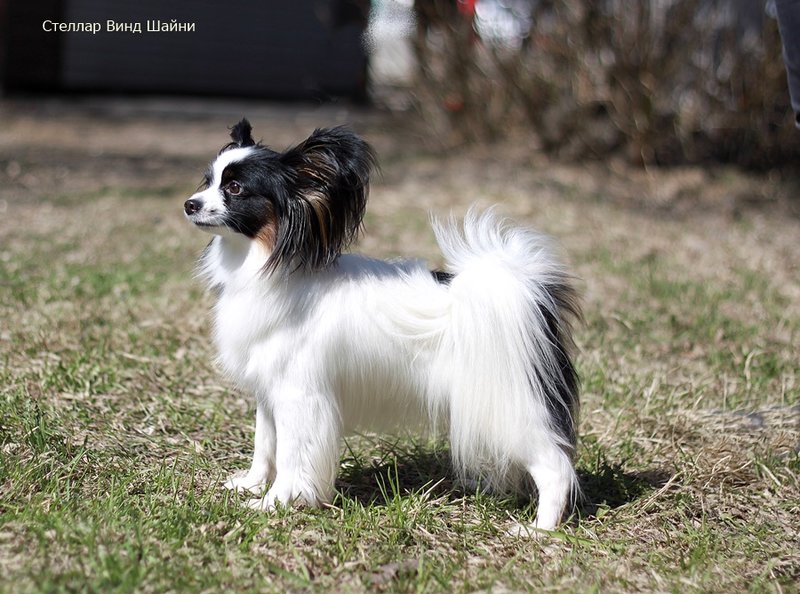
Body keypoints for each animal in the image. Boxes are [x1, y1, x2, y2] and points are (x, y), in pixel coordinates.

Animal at [184, 119, 580, 528]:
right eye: (208, 180)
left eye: (235, 188)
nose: (189, 204)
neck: (267, 264)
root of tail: (520, 292)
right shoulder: (269, 391)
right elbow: (265, 445)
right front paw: (251, 485)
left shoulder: (300, 396)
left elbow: (293, 456)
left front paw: (274, 503)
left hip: (511, 412)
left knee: (555, 467)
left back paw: (539, 530)